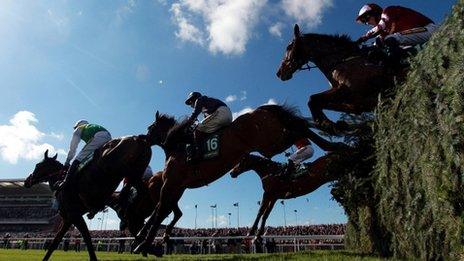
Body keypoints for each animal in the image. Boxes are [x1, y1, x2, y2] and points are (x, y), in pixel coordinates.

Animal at [130, 103, 344, 254]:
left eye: (150, 127)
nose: (141, 137)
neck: (179, 146)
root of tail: (260, 109)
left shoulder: (172, 184)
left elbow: (159, 213)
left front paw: (144, 244)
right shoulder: (177, 187)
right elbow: (161, 211)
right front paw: (145, 239)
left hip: (270, 143)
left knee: (300, 129)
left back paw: (335, 142)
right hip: (273, 140)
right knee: (300, 127)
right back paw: (337, 144)